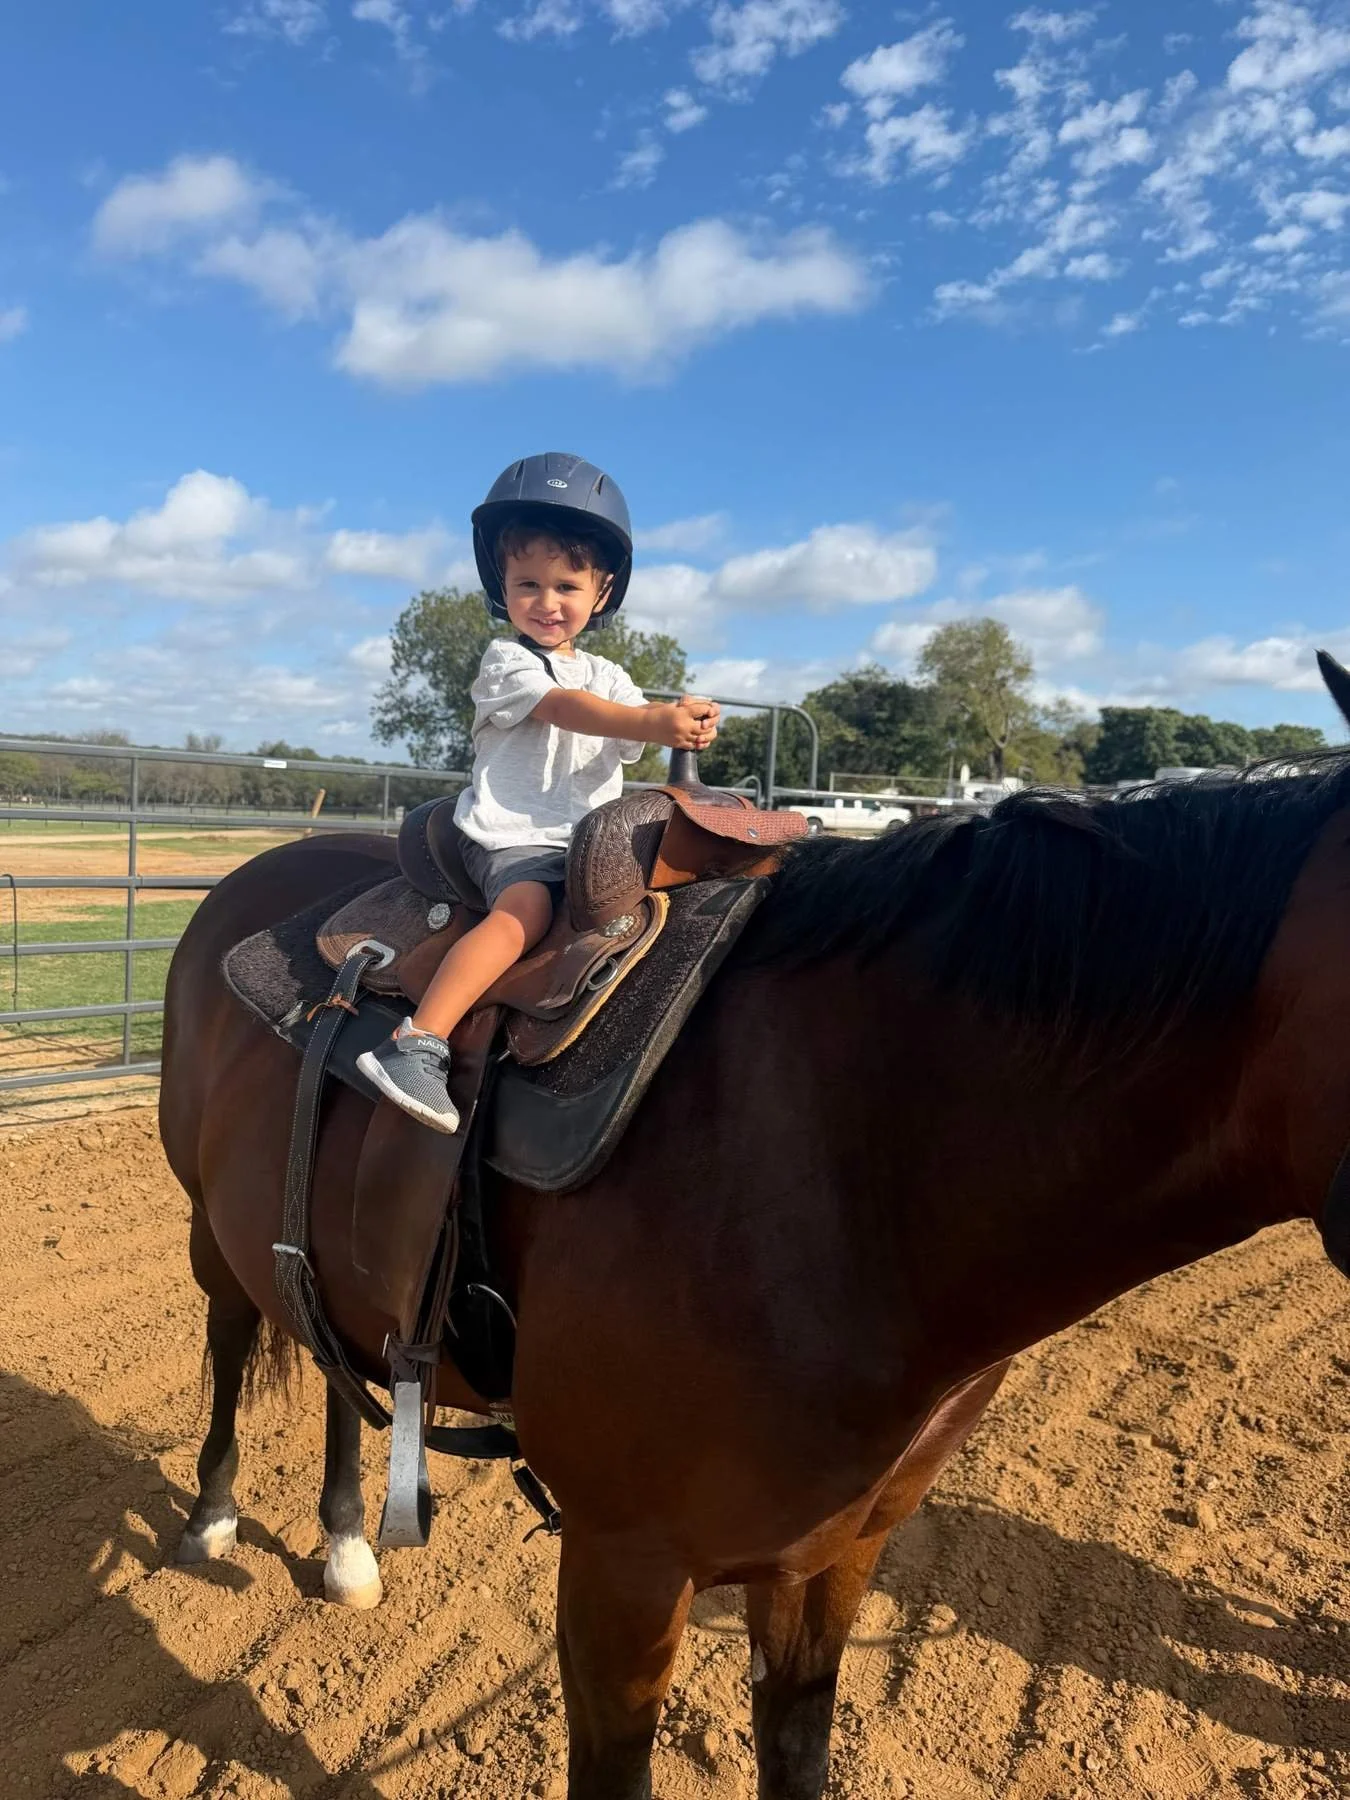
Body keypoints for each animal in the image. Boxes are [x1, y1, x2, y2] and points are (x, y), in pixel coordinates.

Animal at [159, 668, 1350, 1800]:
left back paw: (347, 1541)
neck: (845, 1168)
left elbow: (797, 1757)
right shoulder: (623, 1569)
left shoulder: (834, 1557)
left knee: (331, 1353)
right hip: (211, 1232)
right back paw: (213, 1517)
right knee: (231, 1334)